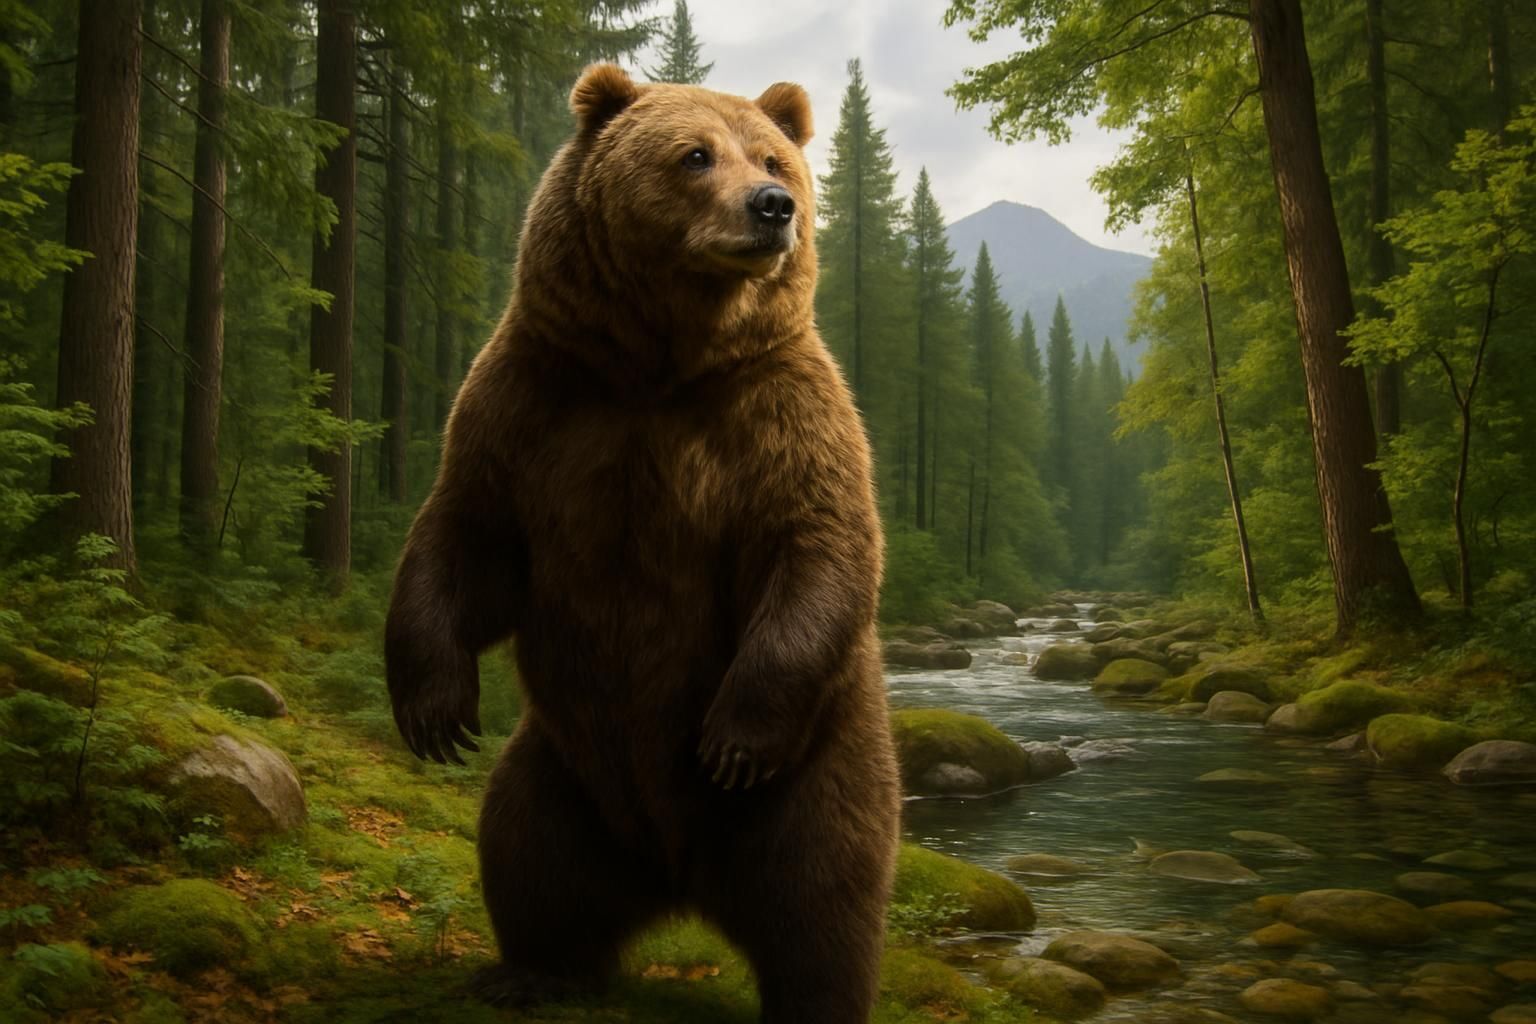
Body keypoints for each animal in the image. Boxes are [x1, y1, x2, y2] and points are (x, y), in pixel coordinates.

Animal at [383, 64, 901, 1024]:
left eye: (773, 158)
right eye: (695, 154)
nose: (773, 207)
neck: (661, 367)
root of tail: (675, 877)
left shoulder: (783, 414)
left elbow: (816, 545)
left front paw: (732, 742)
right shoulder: (535, 399)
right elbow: (467, 536)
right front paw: (436, 713)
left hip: (820, 769)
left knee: (822, 895)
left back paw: (811, 993)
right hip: (561, 769)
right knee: (525, 850)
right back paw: (529, 967)